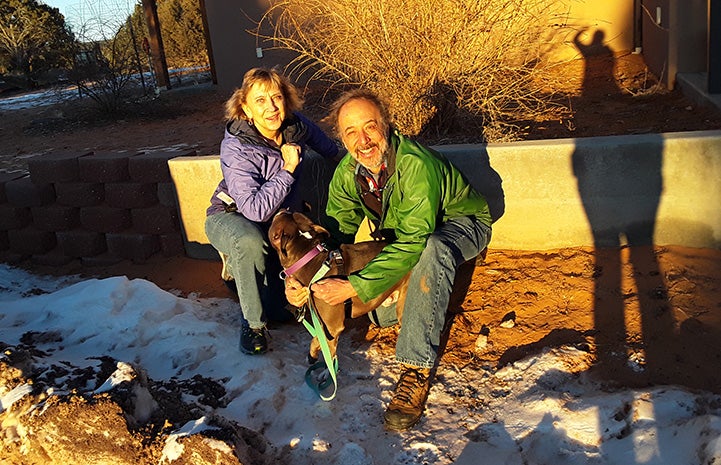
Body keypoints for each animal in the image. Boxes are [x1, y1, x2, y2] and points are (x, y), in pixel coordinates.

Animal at [268, 209, 410, 362]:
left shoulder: (332, 327)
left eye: (277, 218)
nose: (282, 209)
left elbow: (320, 343)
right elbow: (318, 339)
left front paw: (318, 360)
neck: (308, 259)